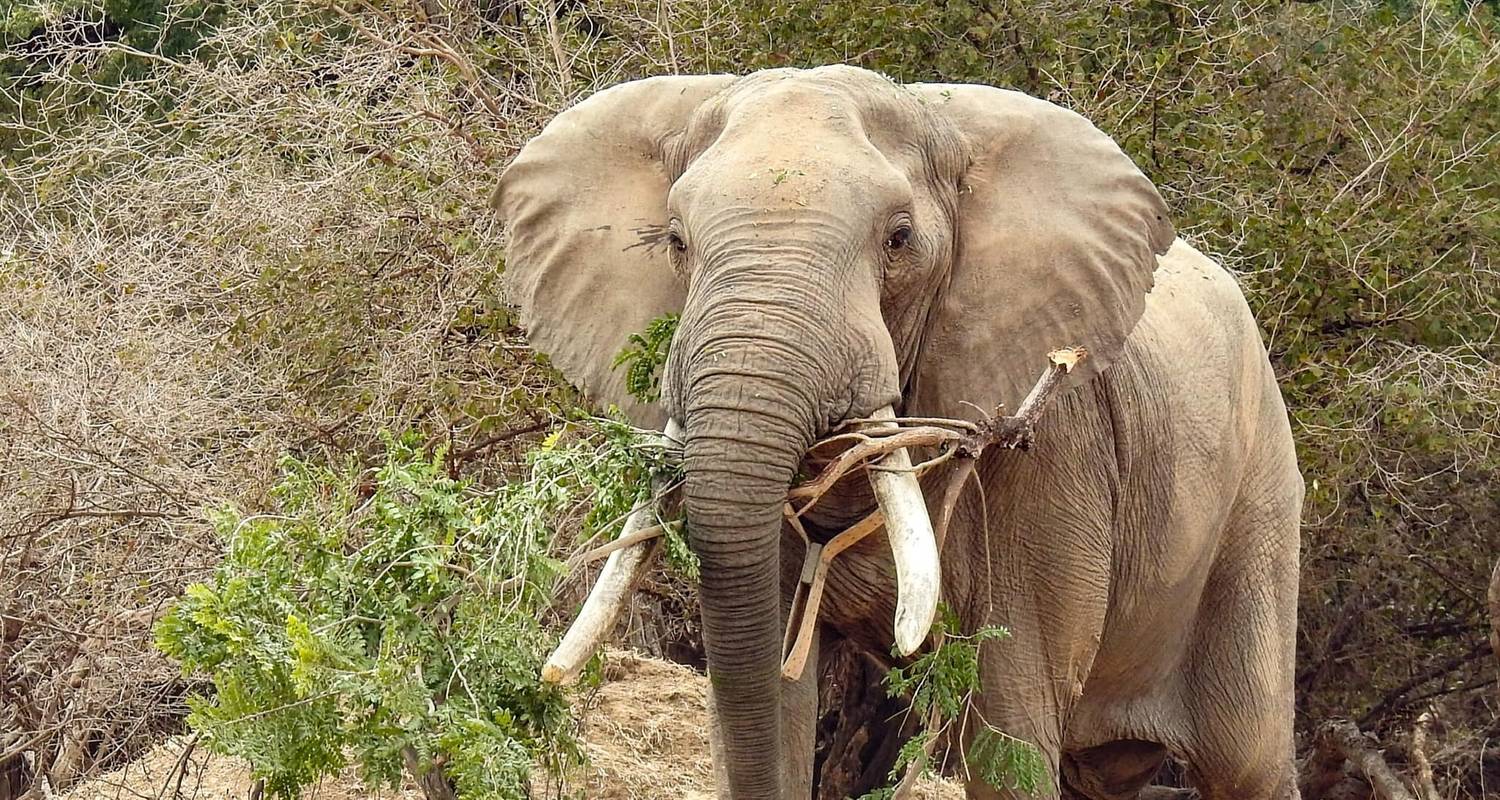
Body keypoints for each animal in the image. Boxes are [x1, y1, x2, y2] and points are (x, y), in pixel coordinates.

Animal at [495, 63, 1302, 798]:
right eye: (675, 240)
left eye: (900, 239)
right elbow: (774, 698)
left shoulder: (1051, 461)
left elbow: (1008, 727)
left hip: (1259, 506)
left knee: (1246, 760)